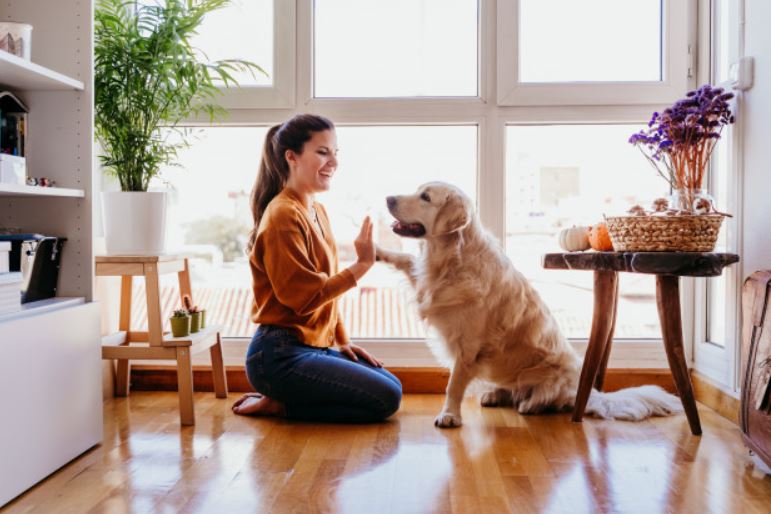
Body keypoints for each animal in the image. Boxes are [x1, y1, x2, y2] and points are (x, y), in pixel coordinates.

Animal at [376, 182, 684, 426]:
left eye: (425, 197)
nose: (388, 198)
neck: (450, 259)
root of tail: (586, 391)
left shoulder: (468, 347)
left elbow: (454, 384)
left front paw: (450, 415)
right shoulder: (426, 283)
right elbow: (405, 259)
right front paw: (375, 250)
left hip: (549, 376)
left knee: (548, 399)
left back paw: (530, 405)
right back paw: (494, 394)